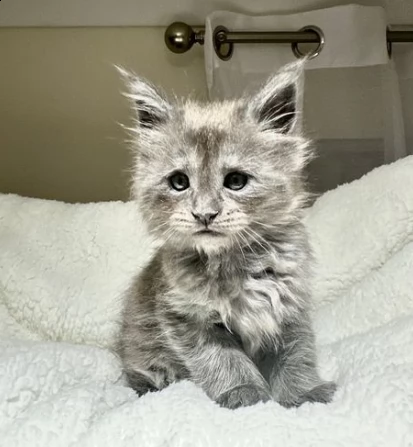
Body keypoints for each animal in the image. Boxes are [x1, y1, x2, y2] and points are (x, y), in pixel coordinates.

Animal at [115, 62, 334, 410]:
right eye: (179, 182)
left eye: (236, 181)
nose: (205, 214)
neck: (235, 264)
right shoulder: (187, 317)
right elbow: (224, 361)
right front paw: (245, 393)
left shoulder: (289, 306)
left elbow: (298, 356)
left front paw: (303, 395)